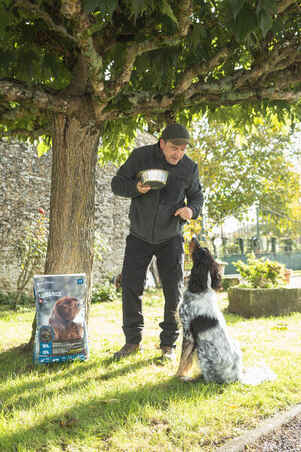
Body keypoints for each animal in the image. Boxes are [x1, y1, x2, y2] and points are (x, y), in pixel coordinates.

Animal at [176, 238, 241, 384]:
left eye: (200, 250)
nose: (194, 238)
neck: (202, 287)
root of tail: (237, 378)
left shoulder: (188, 333)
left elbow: (183, 359)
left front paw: (179, 375)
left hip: (202, 353)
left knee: (208, 379)